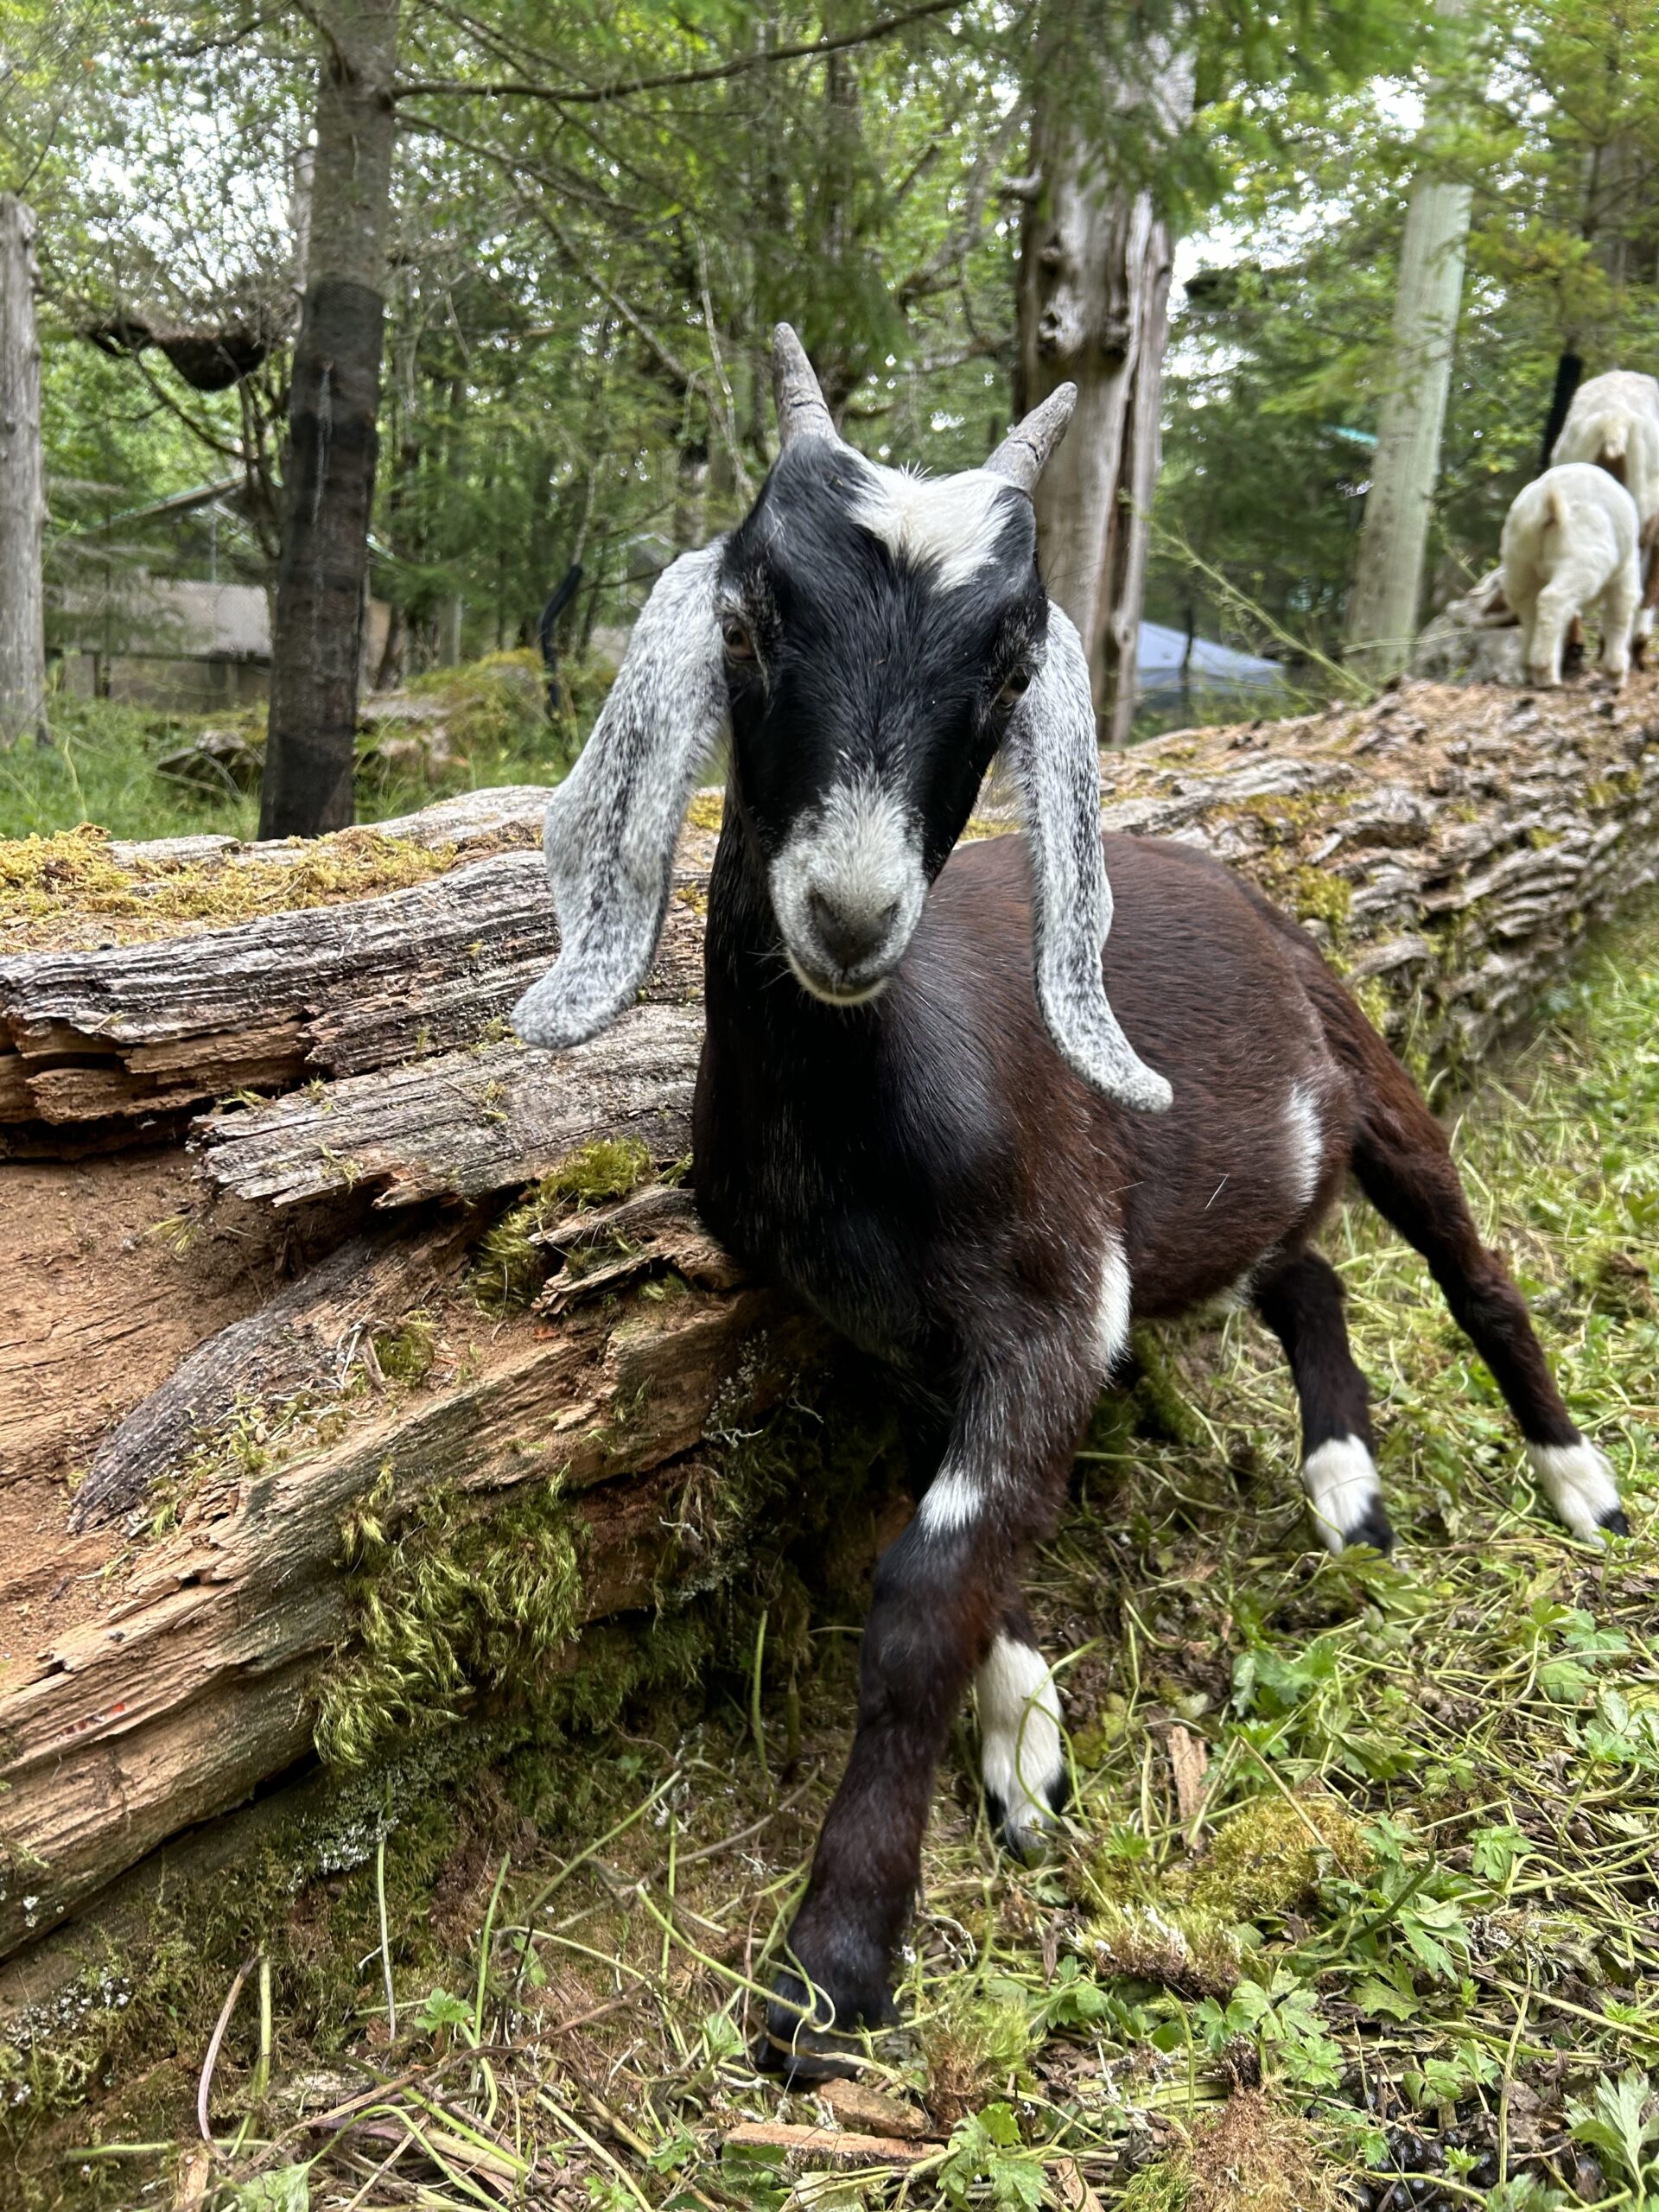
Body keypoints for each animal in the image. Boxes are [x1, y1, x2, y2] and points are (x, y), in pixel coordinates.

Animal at [1500, 462, 1640, 687]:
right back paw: (1546, 672)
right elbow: (1620, 612)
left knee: (1527, 605)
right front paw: (1615, 676)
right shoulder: (1626, 570)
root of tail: (1547, 506)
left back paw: (1529, 667)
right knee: (1554, 599)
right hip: (1584, 554)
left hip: (1519, 554)